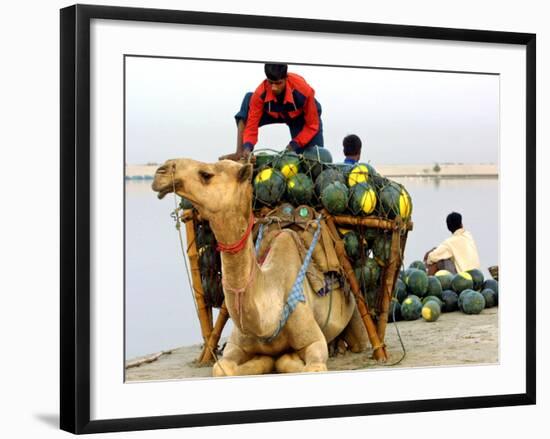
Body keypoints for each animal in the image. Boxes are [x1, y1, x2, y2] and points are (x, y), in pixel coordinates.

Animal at [153, 157, 368, 374]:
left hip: (355, 310)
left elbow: (303, 364)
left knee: (359, 342)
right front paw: (261, 361)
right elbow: (222, 368)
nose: (161, 172)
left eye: (206, 174)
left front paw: (285, 357)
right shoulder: (236, 345)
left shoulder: (314, 342)